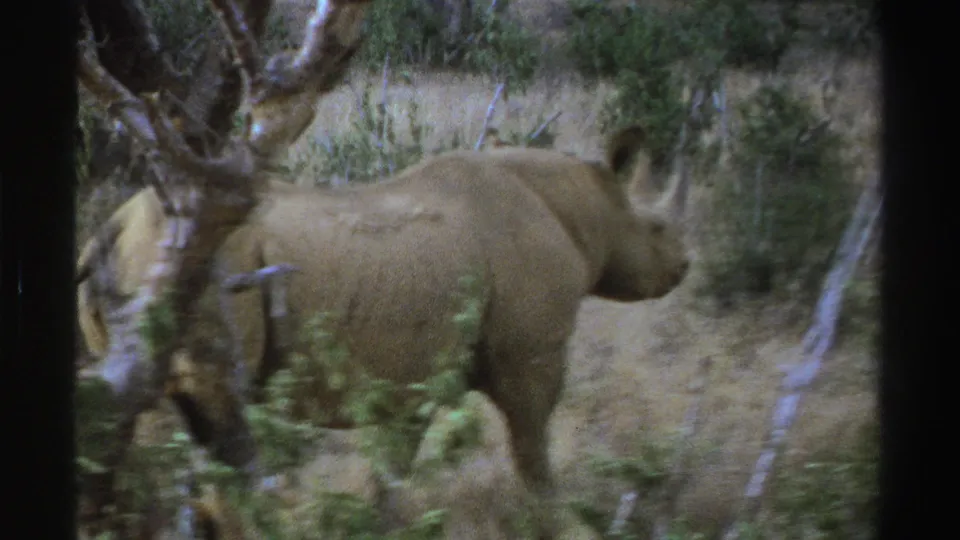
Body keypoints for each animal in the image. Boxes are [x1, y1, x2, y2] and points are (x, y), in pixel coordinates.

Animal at [76, 125, 690, 538]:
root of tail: (111, 230)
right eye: (657, 228)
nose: (684, 266)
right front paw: (554, 521)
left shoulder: (410, 378)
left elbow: (393, 471)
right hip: (187, 267)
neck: (585, 207)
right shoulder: (532, 357)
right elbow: (532, 449)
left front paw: (379, 525)